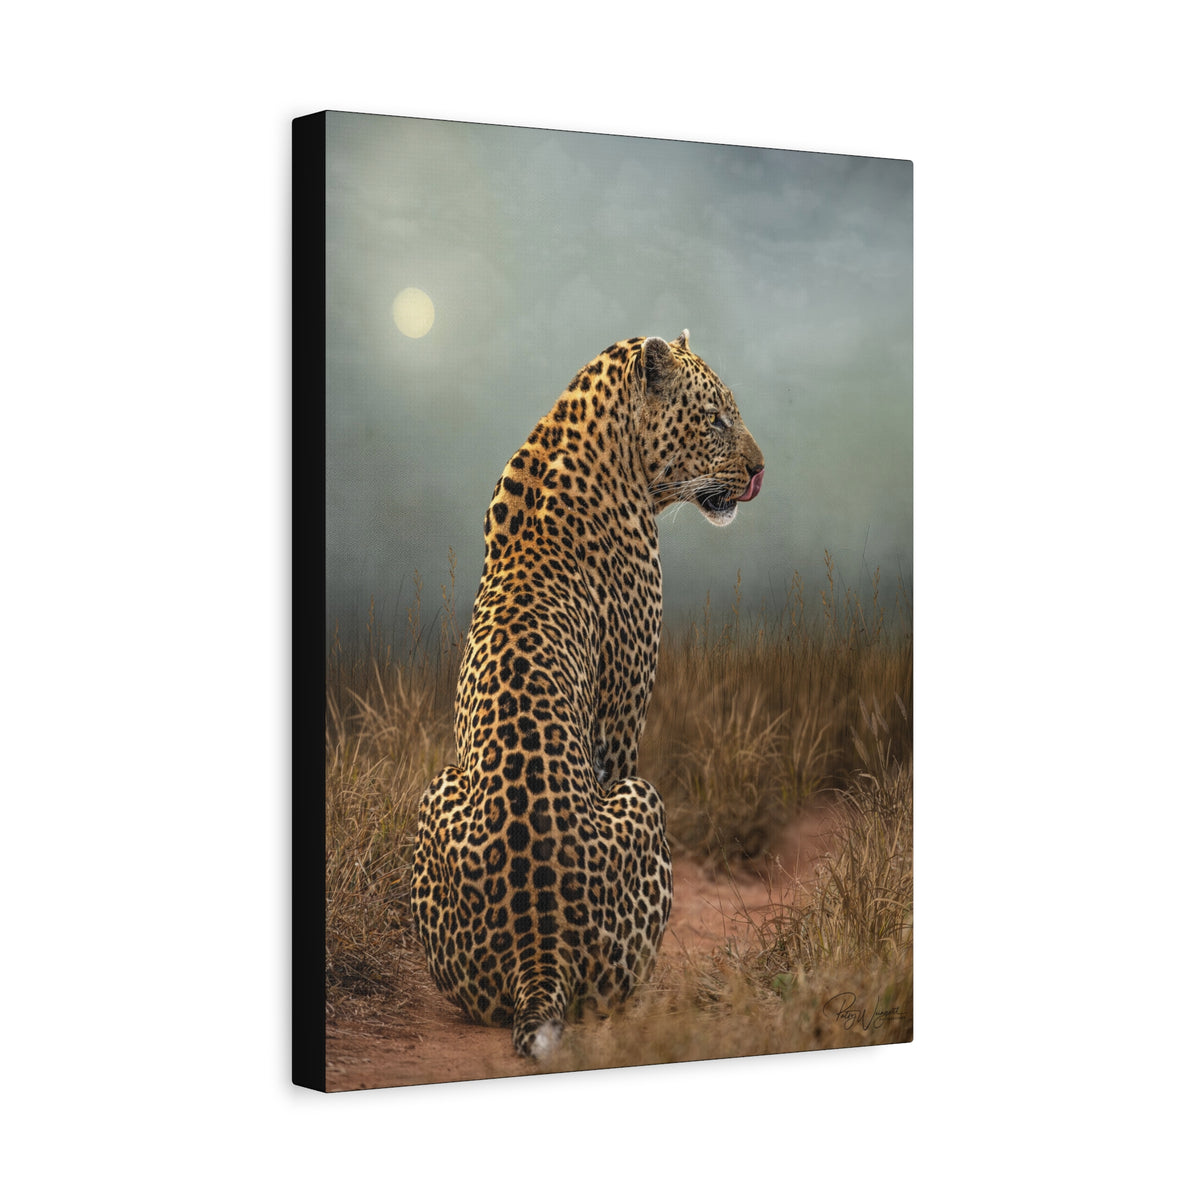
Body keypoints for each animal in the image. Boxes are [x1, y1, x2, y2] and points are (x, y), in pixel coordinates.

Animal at [410, 331, 764, 1058]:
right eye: (715, 417)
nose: (760, 470)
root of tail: (539, 951)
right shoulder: (623, 713)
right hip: (642, 799)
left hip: (434, 793)